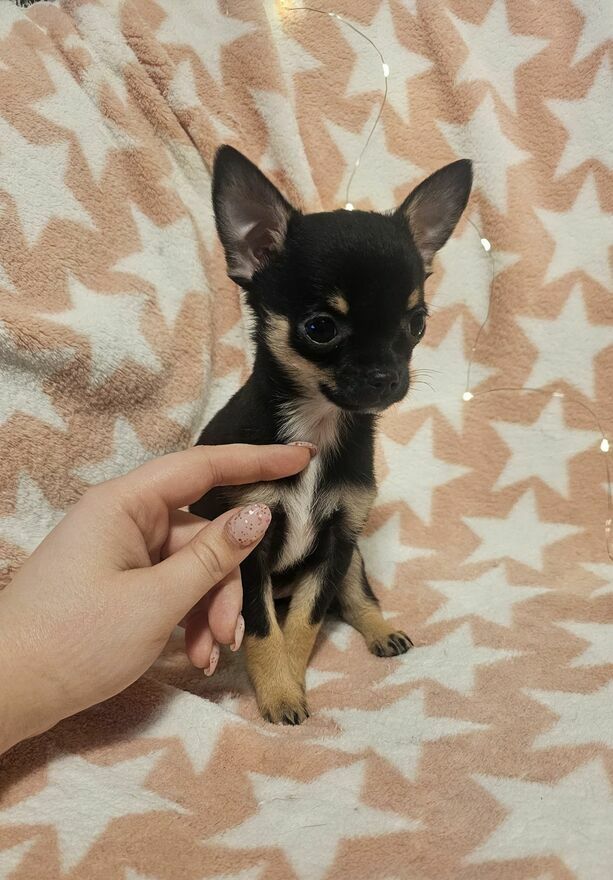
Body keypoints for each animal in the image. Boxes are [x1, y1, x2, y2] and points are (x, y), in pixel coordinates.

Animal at [191, 145, 472, 723]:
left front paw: (290, 680)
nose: (388, 377)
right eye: (320, 328)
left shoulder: (337, 544)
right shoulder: (247, 547)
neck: (317, 428)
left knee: (358, 595)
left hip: (354, 556)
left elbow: (305, 621)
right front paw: (278, 692)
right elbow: (262, 629)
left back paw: (382, 631)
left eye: (417, 325)